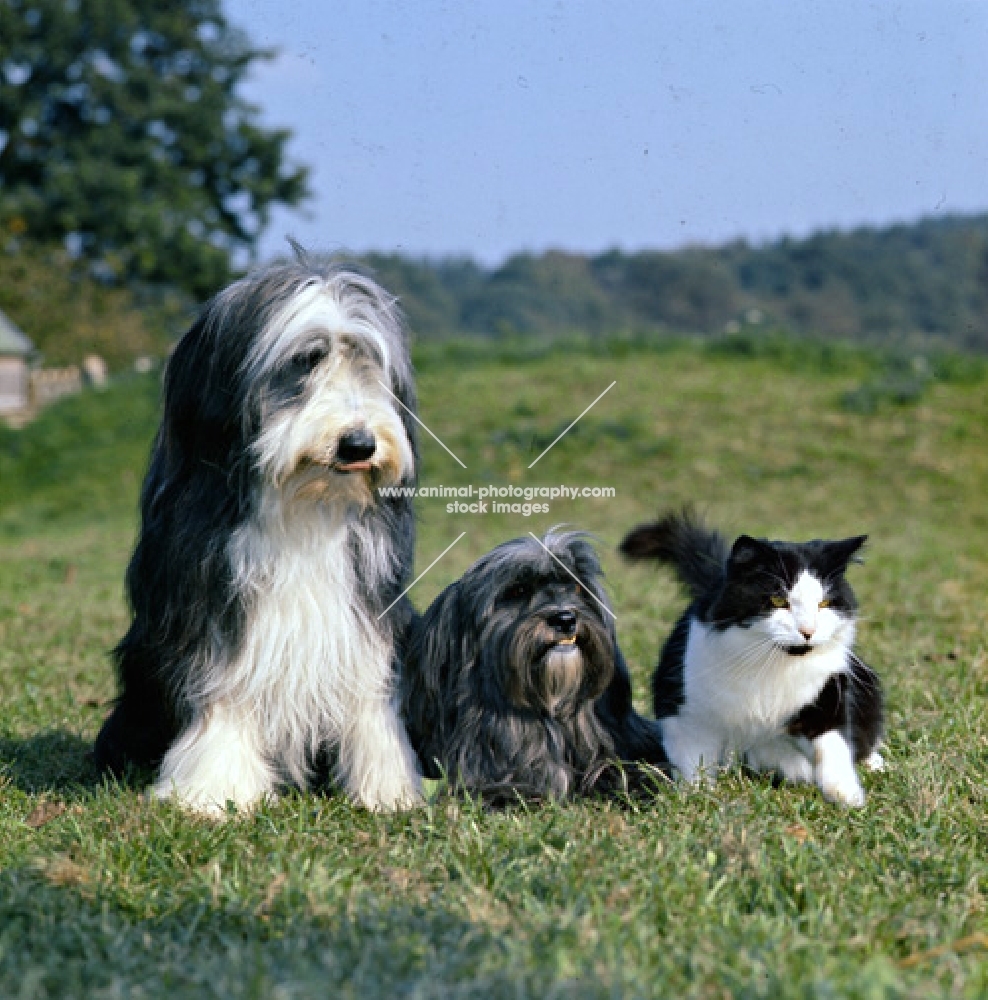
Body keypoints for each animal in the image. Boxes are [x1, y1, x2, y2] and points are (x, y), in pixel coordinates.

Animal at [94, 256, 426, 812]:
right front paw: (213, 791)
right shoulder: (209, 605)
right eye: (306, 360)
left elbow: (370, 692)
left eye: (369, 364)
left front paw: (388, 787)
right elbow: (223, 690)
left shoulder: (368, 602)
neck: (301, 504)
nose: (359, 444)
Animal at [620, 508, 884, 804]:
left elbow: (833, 745)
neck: (771, 667)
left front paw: (846, 794)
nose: (808, 631)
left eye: (824, 604)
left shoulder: (828, 694)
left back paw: (873, 763)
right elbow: (694, 765)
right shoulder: (685, 715)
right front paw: (698, 798)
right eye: (778, 601)